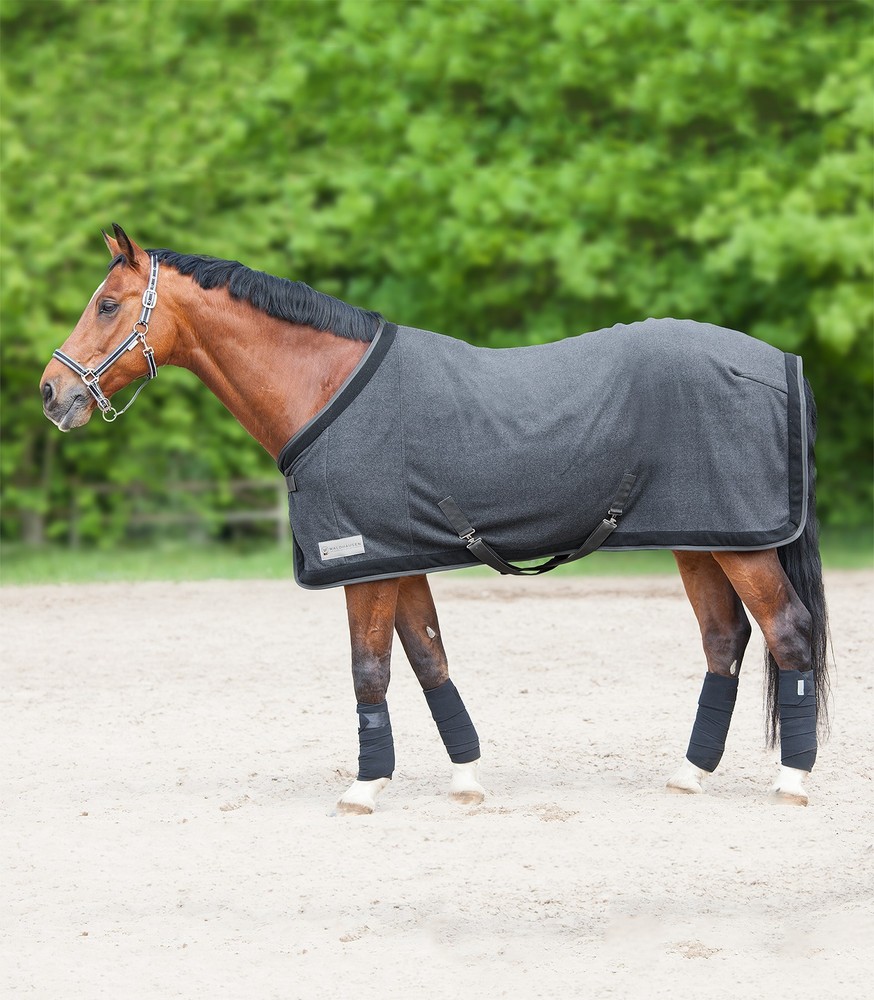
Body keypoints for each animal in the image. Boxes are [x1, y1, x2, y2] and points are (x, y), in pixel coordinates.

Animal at [40, 225, 830, 812]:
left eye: (107, 304)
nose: (51, 393)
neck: (323, 385)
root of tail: (777, 366)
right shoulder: (399, 556)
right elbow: (427, 659)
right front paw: (466, 779)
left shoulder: (361, 563)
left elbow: (369, 670)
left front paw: (364, 787)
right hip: (701, 539)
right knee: (725, 639)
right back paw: (690, 773)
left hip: (742, 546)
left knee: (787, 631)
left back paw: (792, 781)